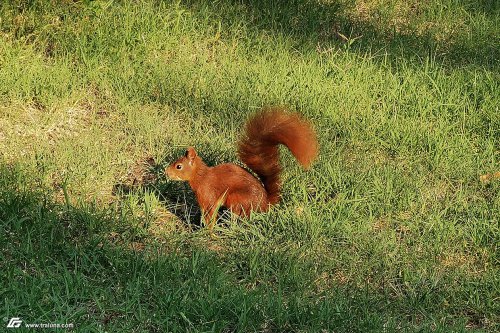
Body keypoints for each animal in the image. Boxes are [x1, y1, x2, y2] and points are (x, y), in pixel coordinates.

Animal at [166, 106, 318, 228]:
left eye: (178, 166)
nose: (166, 172)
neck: (201, 176)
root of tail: (265, 203)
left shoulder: (208, 195)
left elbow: (210, 214)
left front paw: (207, 231)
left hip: (237, 199)